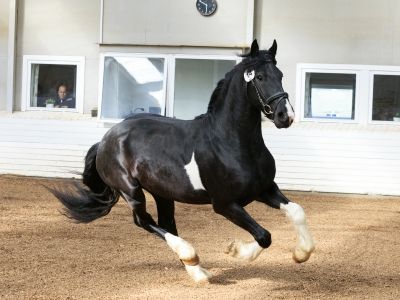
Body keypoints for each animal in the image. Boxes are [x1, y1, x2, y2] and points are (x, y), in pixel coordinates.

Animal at [51, 40, 316, 284]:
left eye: (280, 75)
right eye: (259, 77)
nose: (285, 116)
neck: (231, 142)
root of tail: (105, 139)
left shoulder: (264, 189)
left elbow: (297, 211)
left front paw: (301, 254)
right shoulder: (224, 204)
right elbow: (264, 235)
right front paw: (235, 250)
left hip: (162, 193)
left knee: (166, 223)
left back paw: (195, 268)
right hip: (131, 190)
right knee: (144, 221)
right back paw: (194, 263)